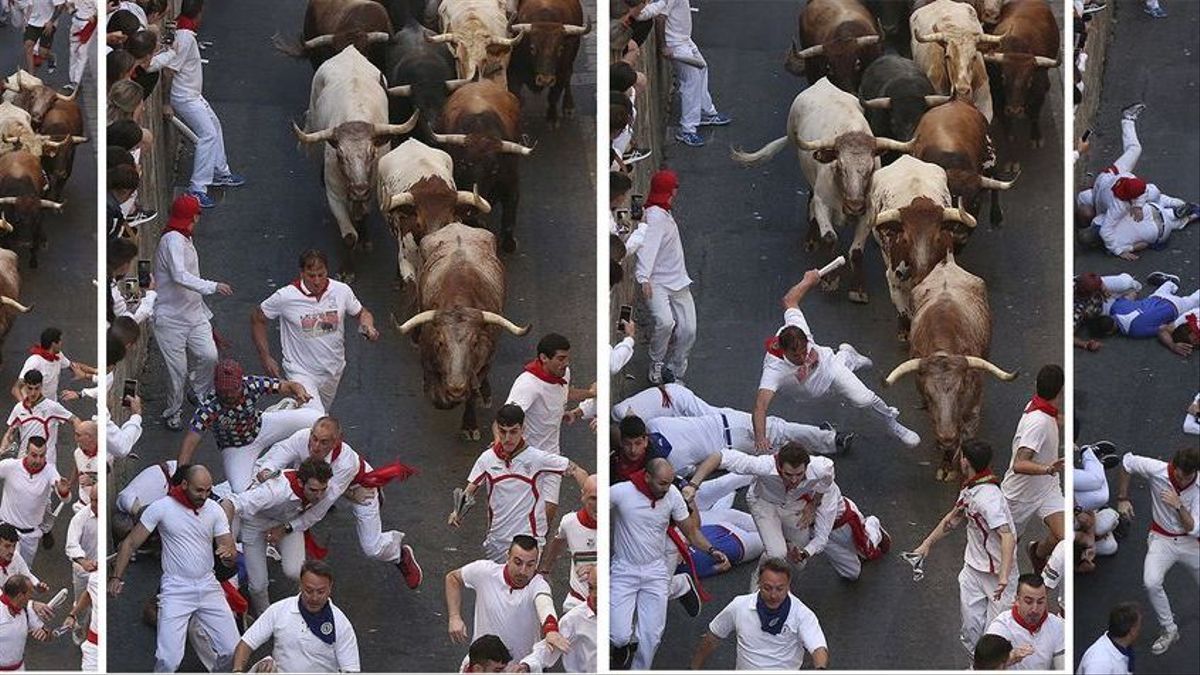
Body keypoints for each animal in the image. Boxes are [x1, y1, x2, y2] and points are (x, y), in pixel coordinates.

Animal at [396, 223, 528, 439]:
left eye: (474, 343)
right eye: (440, 343)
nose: (456, 386)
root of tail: (457, 225)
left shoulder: (485, 362)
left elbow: (472, 393)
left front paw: (469, 424)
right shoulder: (426, 357)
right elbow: (436, 392)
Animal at [883, 251, 1012, 478]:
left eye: (960, 391)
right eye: (928, 394)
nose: (947, 436)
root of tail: (947, 263)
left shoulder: (972, 410)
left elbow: (968, 437)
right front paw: (946, 464)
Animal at [984, 0, 1060, 148]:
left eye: (1030, 81)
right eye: (1003, 78)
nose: (1015, 110)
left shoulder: (1038, 92)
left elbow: (1034, 114)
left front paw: (1036, 137)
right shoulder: (996, 93)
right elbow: (1003, 117)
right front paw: (1009, 135)